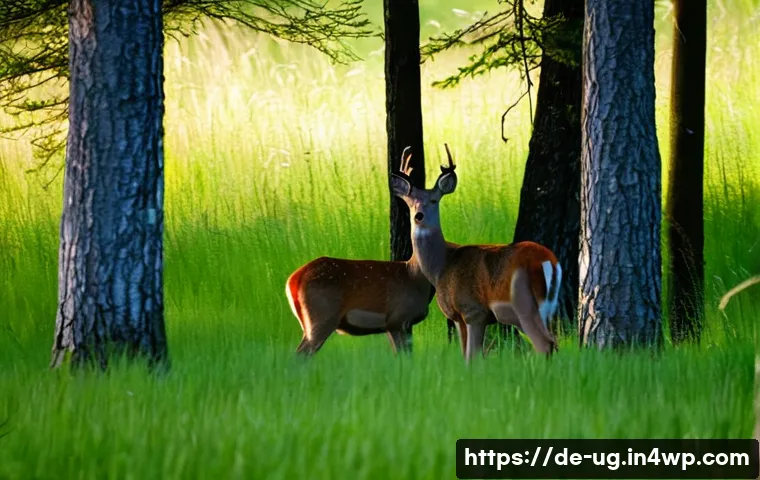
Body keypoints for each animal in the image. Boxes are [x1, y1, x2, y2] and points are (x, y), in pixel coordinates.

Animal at [285, 147, 436, 357]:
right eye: (413, 202)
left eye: (433, 200)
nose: (420, 215)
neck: (414, 275)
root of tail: (292, 280)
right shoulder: (397, 318)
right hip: (321, 318)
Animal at [389, 143, 563, 363]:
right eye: (411, 201)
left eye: (434, 200)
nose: (418, 216)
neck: (441, 266)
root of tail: (547, 260)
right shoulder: (461, 317)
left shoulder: (472, 311)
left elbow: (472, 355)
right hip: (548, 308)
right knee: (554, 342)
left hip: (523, 303)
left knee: (544, 344)